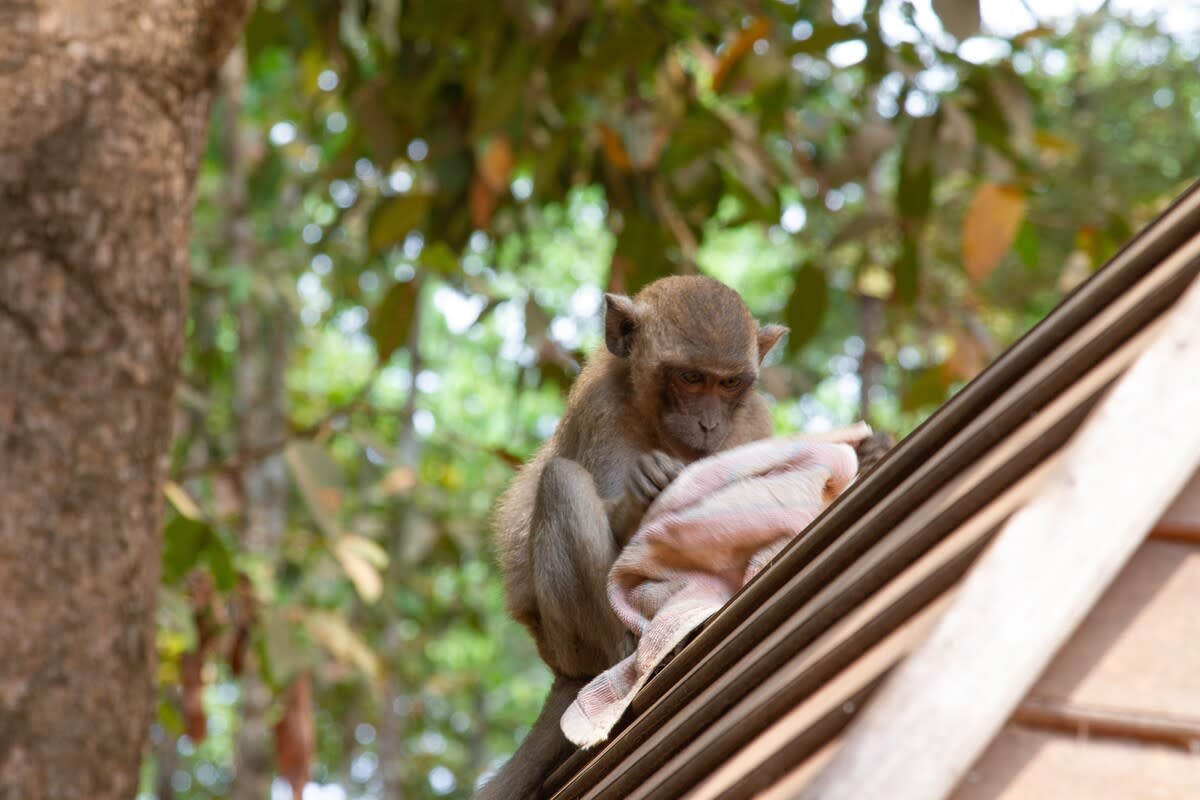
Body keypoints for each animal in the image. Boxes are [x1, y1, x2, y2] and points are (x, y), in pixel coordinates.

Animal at [475, 276, 789, 799]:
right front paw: (643, 490)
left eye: (728, 383)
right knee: (562, 481)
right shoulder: (601, 408)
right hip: (573, 644)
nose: (708, 424)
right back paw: (636, 650)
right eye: (689, 378)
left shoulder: (750, 422)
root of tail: (563, 671)